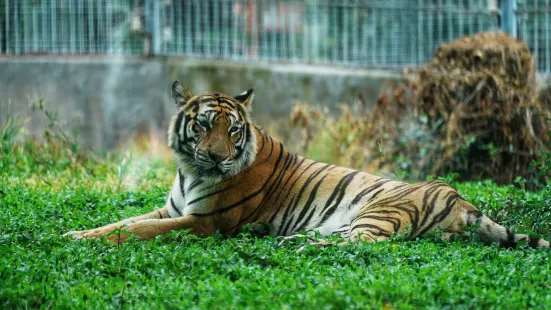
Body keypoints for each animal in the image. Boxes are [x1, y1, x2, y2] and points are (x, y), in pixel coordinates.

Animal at [63, 80, 548, 249]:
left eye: (233, 131)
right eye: (202, 125)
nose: (217, 157)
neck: (190, 170)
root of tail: (462, 199)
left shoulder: (204, 222)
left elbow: (136, 230)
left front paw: (83, 239)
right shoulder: (172, 209)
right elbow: (123, 221)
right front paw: (73, 234)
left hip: (378, 212)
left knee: (364, 247)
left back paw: (299, 246)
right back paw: (288, 240)